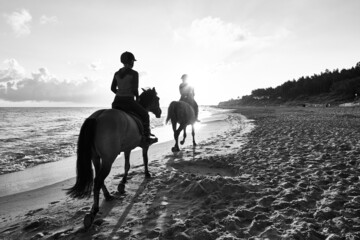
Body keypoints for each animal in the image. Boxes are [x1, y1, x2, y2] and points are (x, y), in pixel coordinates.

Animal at [66, 87, 162, 228]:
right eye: (157, 99)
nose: (160, 112)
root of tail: (97, 116)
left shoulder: (127, 148)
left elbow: (127, 165)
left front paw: (123, 183)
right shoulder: (144, 146)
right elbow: (145, 159)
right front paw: (147, 173)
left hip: (96, 157)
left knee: (98, 177)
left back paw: (107, 195)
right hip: (108, 159)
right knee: (98, 180)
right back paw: (94, 211)